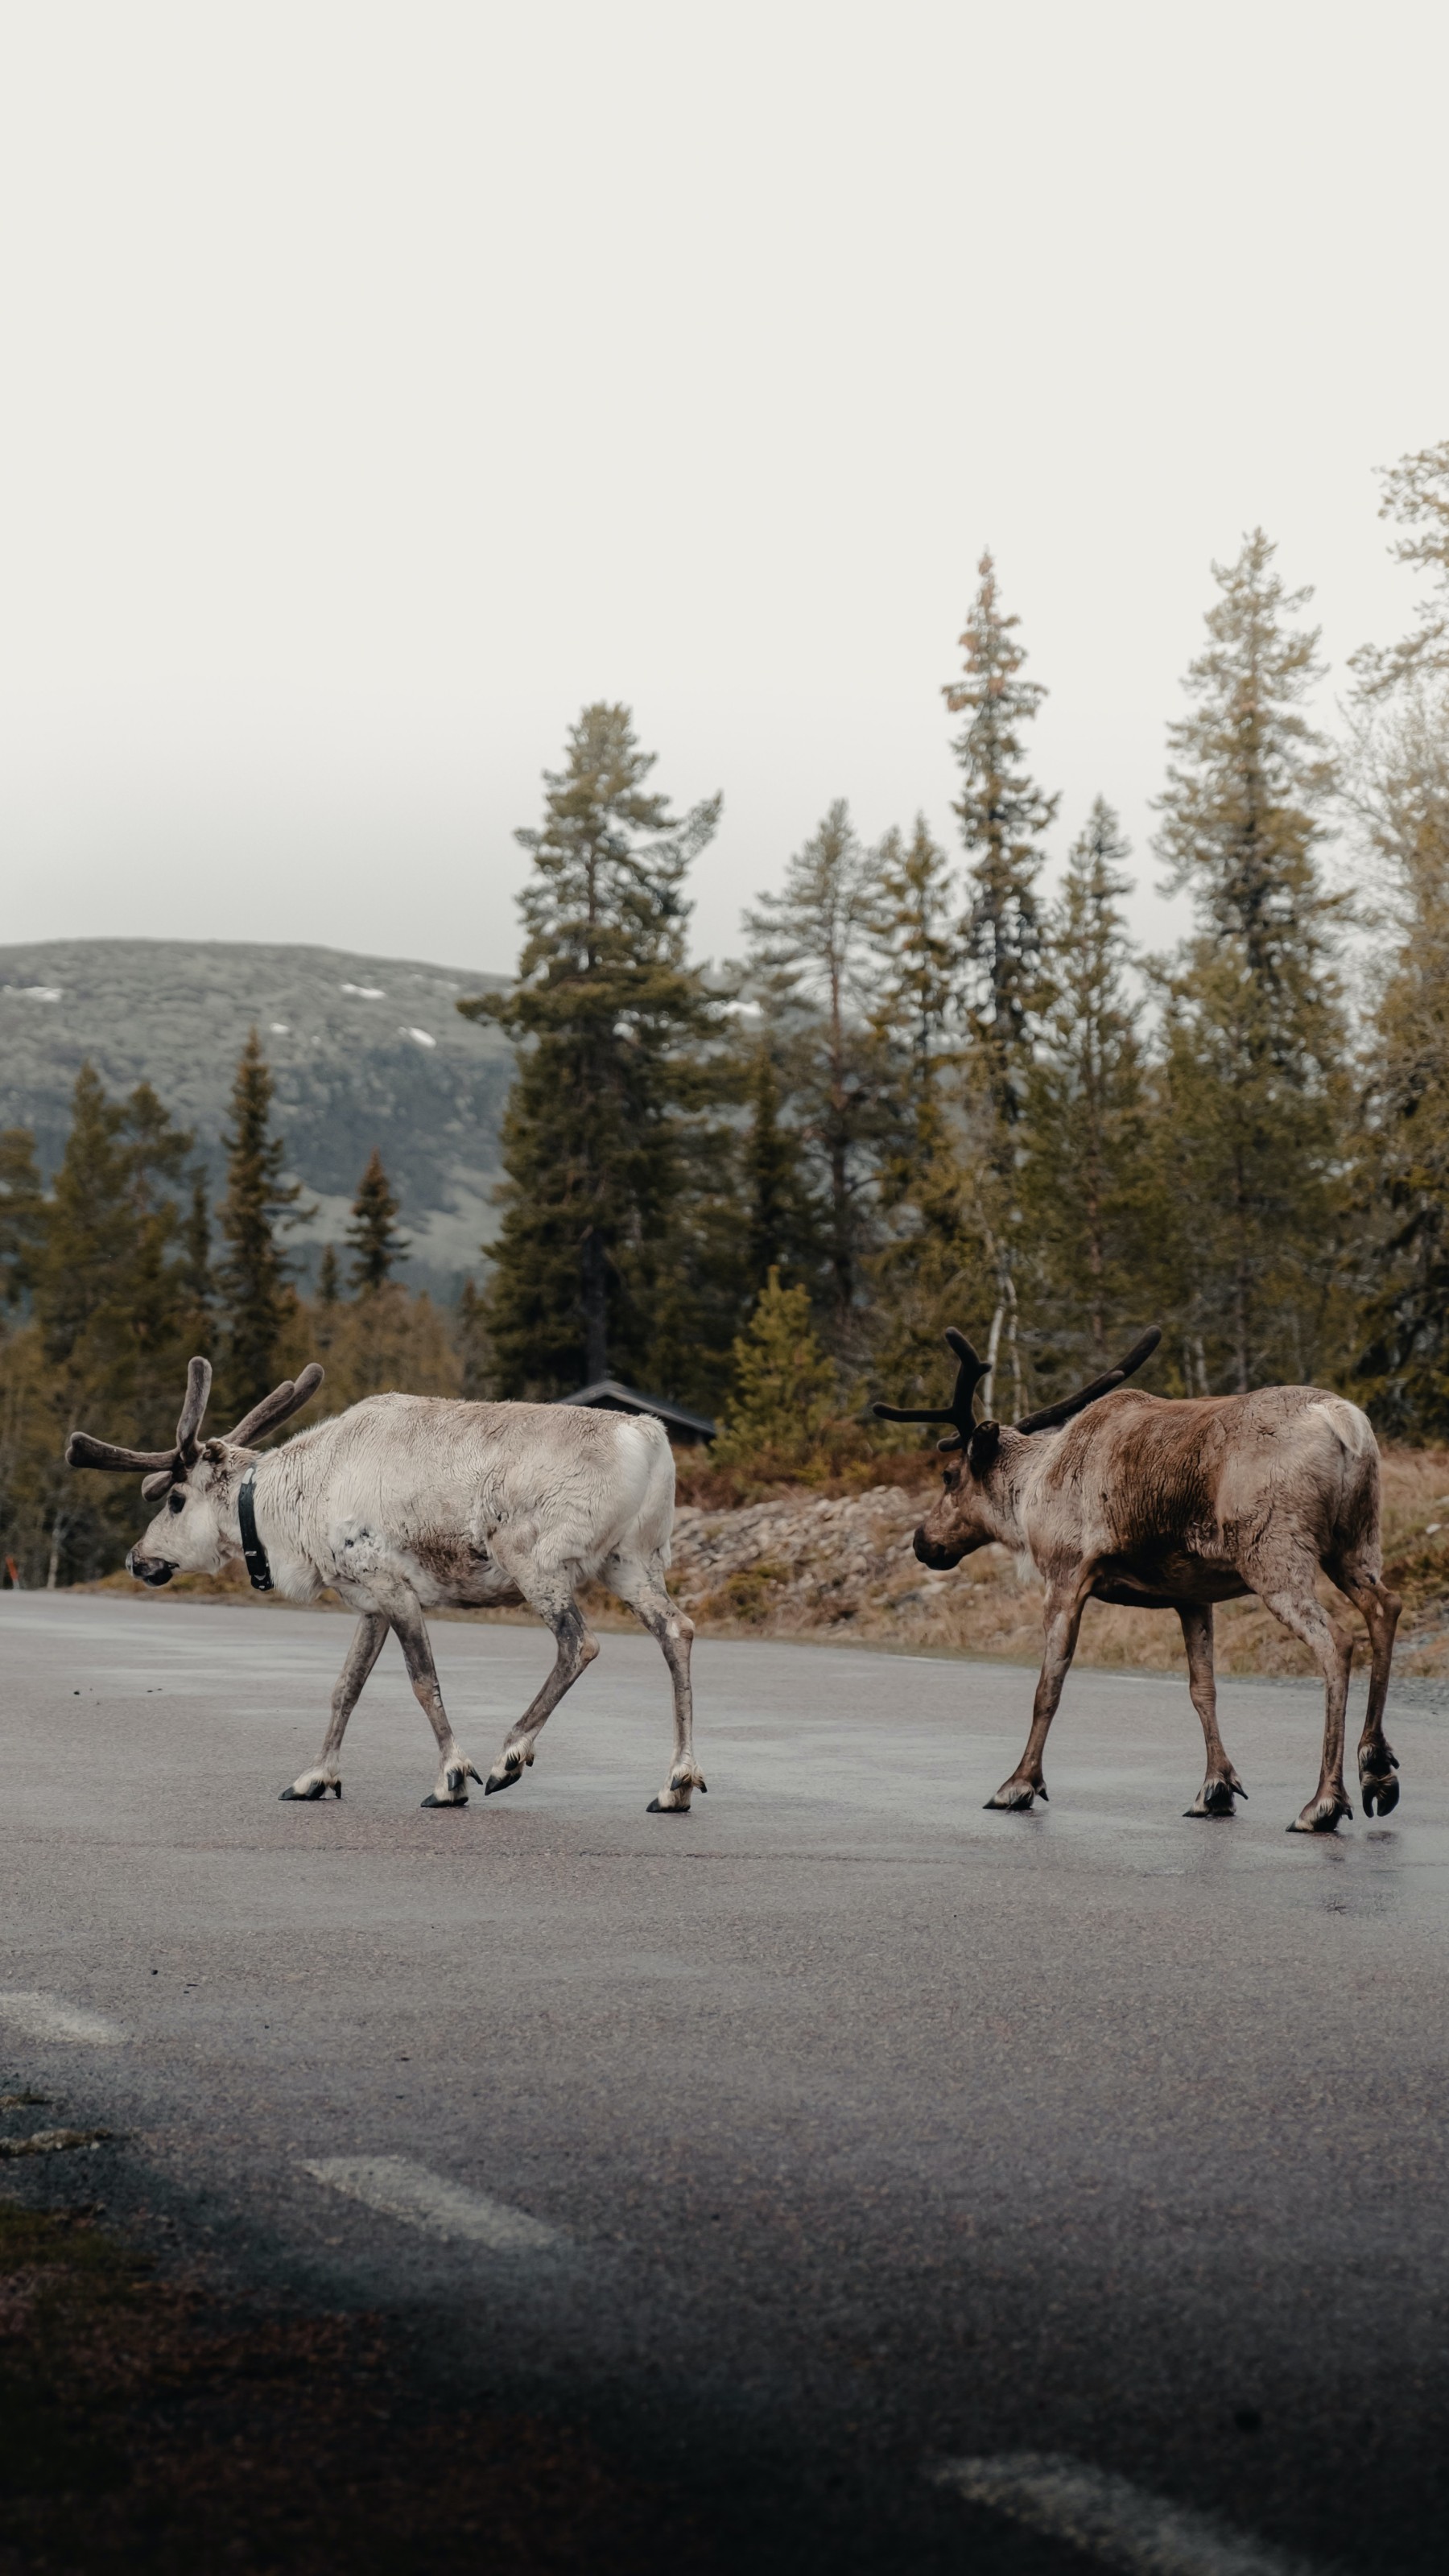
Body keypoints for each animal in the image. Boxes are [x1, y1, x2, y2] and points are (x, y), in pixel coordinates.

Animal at [65, 1357, 706, 1814]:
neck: (295, 1504)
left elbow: (423, 1681)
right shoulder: (366, 1602)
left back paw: (510, 1757)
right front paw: (314, 1777)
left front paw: (452, 1778)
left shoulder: (392, 1585)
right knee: (678, 1630)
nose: (136, 1558)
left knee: (580, 1643)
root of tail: (651, 1440)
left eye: (175, 1499)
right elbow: (345, 1688)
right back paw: (676, 1783)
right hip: (632, 1561)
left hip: (537, 1562)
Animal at [875, 1327, 1402, 1834]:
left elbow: (1048, 1687)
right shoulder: (1193, 1595)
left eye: (949, 1475)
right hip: (1354, 1543)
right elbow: (1203, 1689)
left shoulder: (1066, 1575)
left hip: (1274, 1553)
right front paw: (1215, 1788)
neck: (1030, 1491)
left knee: (1337, 1641)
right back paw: (1376, 1769)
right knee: (1385, 1607)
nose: (923, 1542)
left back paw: (1323, 1803)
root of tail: (1346, 1423)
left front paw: (1018, 1785)